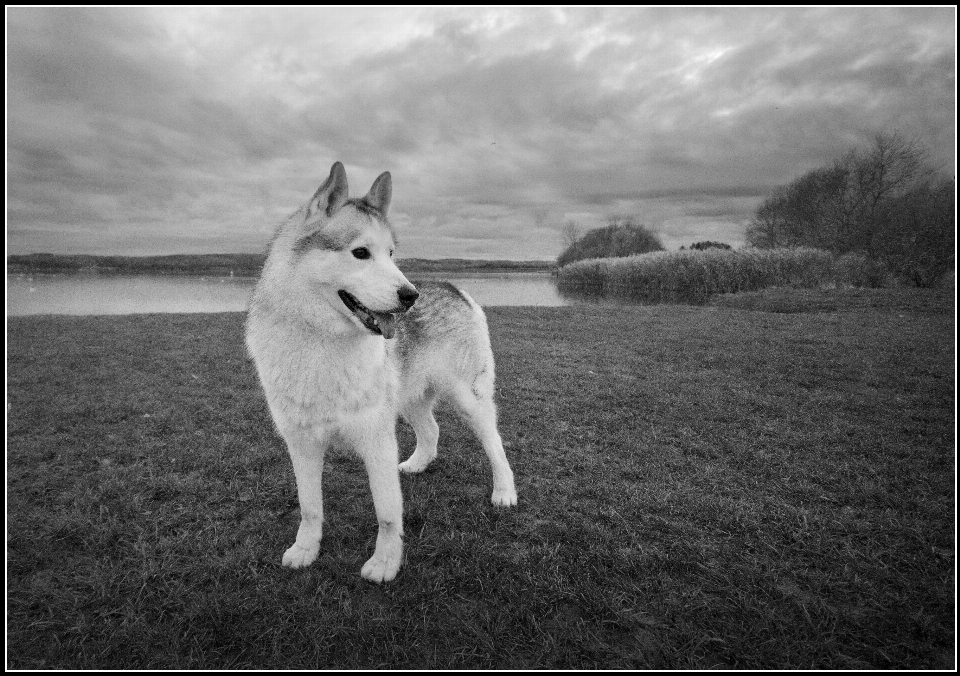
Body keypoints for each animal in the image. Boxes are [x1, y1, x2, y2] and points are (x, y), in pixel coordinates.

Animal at [248, 162, 516, 580]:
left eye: (391, 254)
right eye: (361, 253)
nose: (410, 296)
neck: (319, 341)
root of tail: (453, 287)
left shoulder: (376, 440)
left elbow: (388, 513)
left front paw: (385, 563)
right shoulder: (301, 442)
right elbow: (310, 508)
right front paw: (305, 549)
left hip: (468, 400)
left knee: (495, 443)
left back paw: (504, 491)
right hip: (409, 399)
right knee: (432, 430)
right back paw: (418, 464)